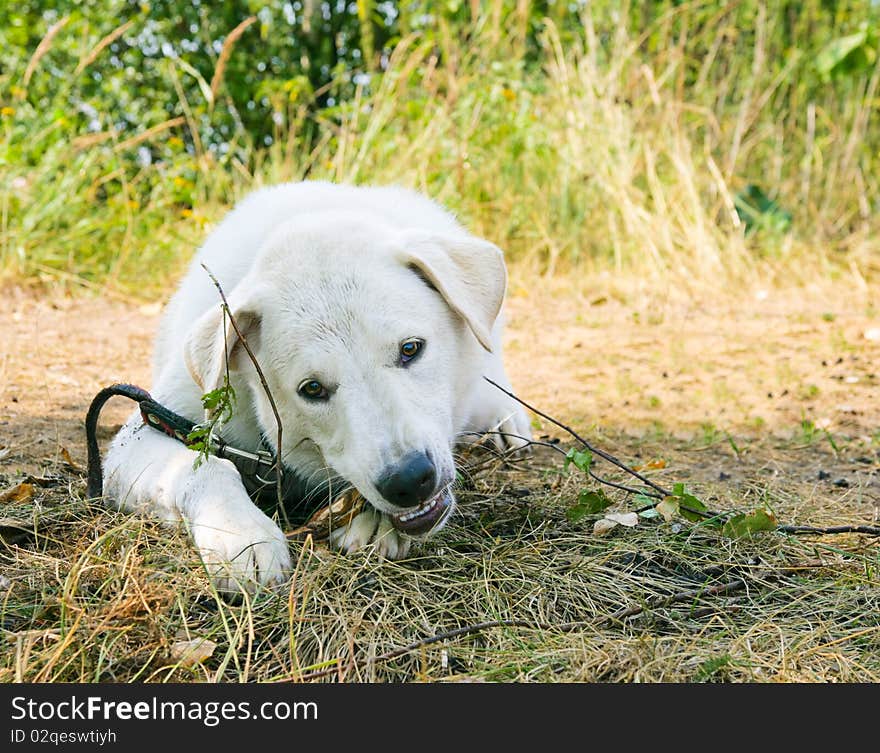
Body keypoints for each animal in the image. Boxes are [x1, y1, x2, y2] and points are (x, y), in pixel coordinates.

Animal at [101, 181, 528, 588]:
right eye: (312, 389)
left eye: (411, 349)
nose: (409, 482)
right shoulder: (142, 434)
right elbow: (204, 467)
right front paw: (241, 534)